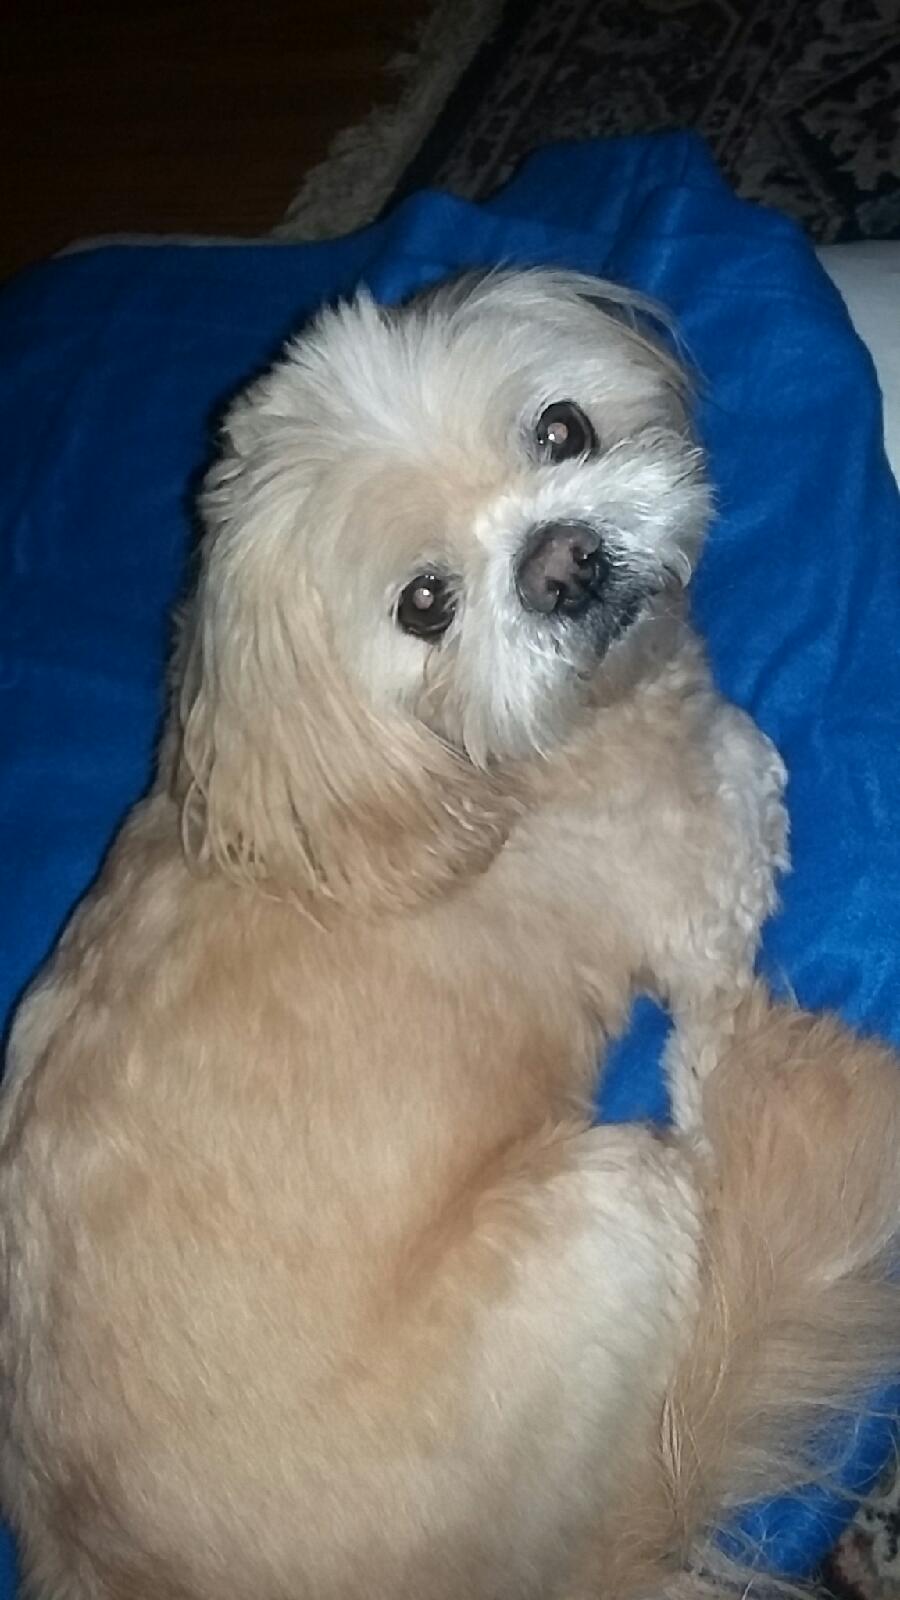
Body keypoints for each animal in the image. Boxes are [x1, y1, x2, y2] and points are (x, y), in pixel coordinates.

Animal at [1, 269, 899, 1600]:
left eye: (563, 430)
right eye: (425, 604)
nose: (562, 561)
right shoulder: (701, 901)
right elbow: (745, 779)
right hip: (609, 1205)